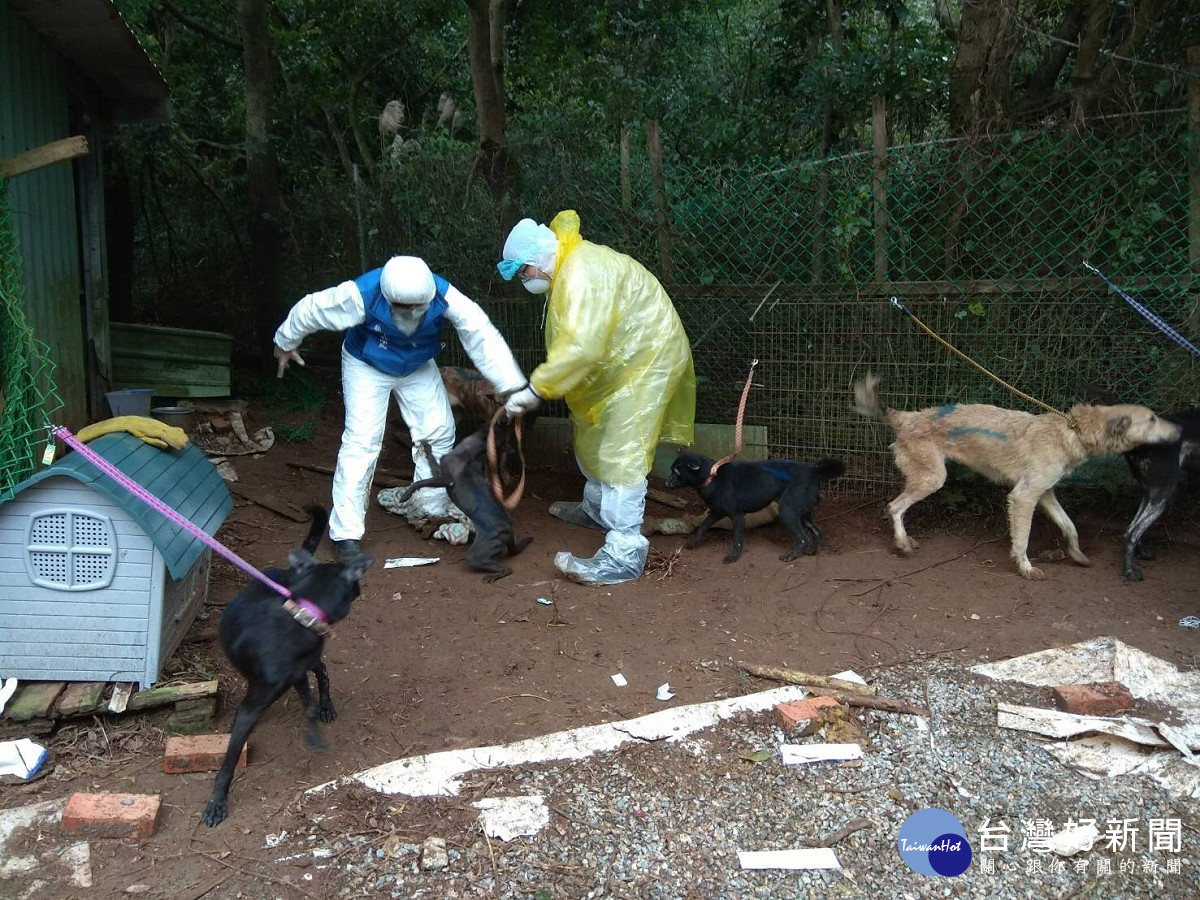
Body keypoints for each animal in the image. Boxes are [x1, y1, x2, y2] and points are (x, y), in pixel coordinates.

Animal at [201, 504, 372, 830]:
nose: (361, 589)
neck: (302, 614)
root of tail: (288, 571)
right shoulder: (263, 699)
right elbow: (229, 760)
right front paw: (216, 803)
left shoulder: (294, 675)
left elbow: (310, 705)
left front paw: (316, 731)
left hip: (310, 663)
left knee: (324, 673)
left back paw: (327, 706)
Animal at [398, 420, 530, 580]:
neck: (469, 452)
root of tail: (509, 531)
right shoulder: (439, 472)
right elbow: (431, 460)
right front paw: (427, 448)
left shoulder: (446, 479)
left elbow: (421, 482)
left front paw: (406, 494)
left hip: (476, 554)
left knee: (506, 568)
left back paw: (493, 576)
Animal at [667, 451, 844, 564]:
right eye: (671, 469)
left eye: (677, 472)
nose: (667, 483)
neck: (712, 477)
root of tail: (813, 471)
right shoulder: (716, 512)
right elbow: (703, 526)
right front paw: (693, 541)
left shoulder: (737, 516)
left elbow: (737, 540)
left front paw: (733, 557)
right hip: (802, 513)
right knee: (817, 530)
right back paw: (812, 551)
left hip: (787, 512)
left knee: (802, 538)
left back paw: (790, 556)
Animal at [854, 372, 1180, 578]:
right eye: (1153, 419)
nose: (1179, 430)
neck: (1072, 433)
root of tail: (904, 416)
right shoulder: (1023, 497)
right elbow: (1022, 539)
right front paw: (1026, 569)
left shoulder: (1045, 494)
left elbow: (1070, 526)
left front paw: (1078, 556)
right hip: (933, 480)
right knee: (893, 507)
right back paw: (903, 544)